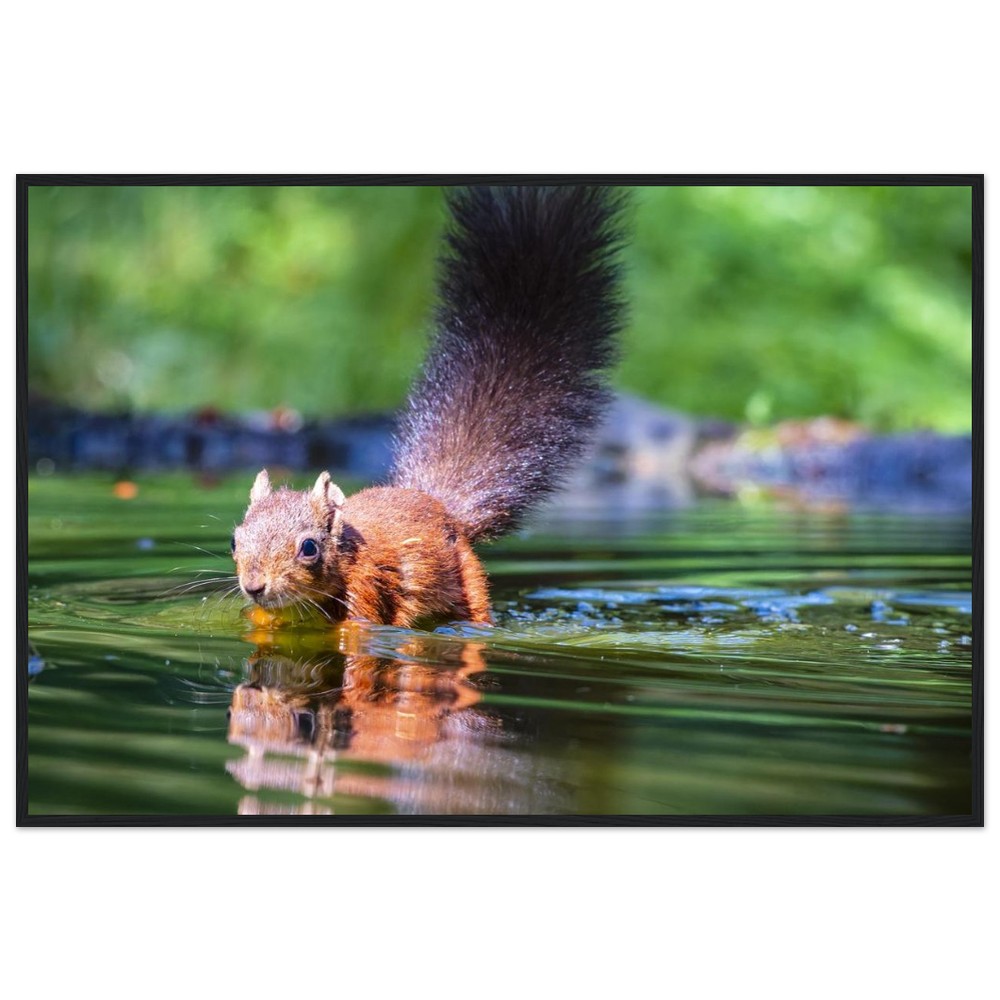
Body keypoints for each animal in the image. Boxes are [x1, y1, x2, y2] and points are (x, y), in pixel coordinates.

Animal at [231, 185, 628, 628]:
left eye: (309, 547)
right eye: (234, 539)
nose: (254, 586)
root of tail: (439, 505)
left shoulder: (368, 586)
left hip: (468, 576)